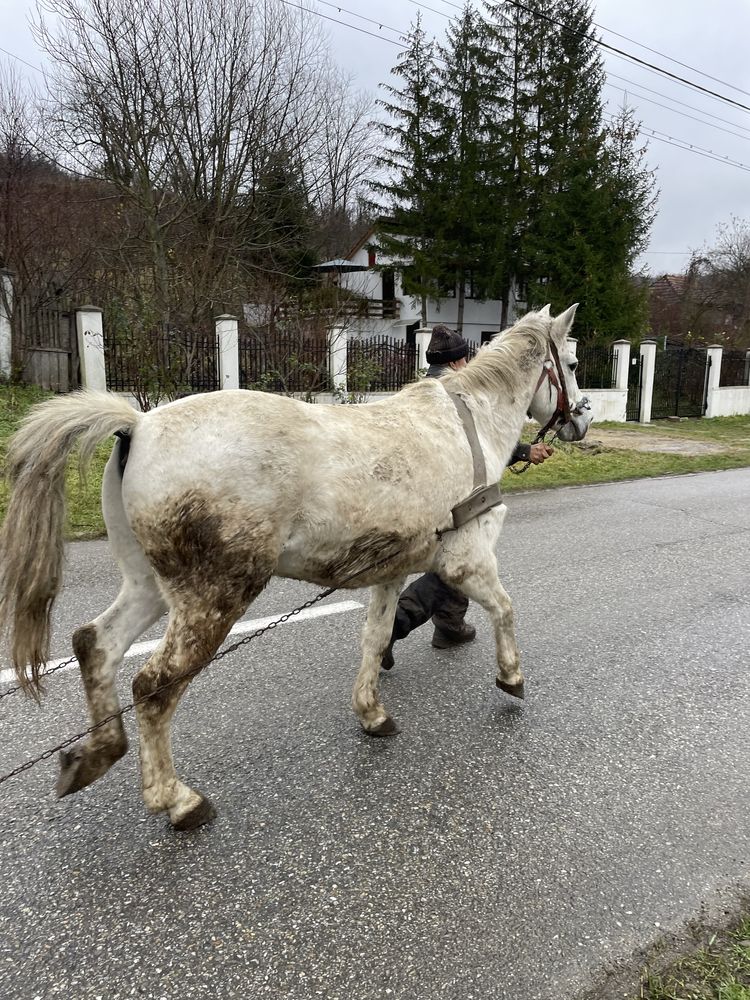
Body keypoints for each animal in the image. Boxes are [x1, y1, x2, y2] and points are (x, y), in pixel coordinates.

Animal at [0, 302, 592, 828]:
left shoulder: (392, 571)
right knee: (154, 686)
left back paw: (97, 752)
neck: (467, 423)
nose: (582, 419)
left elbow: (376, 638)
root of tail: (139, 424)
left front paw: (372, 713)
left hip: (149, 585)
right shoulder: (465, 560)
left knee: (95, 644)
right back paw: (177, 800)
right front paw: (511, 678)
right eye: (572, 362)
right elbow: (505, 610)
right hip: (212, 598)